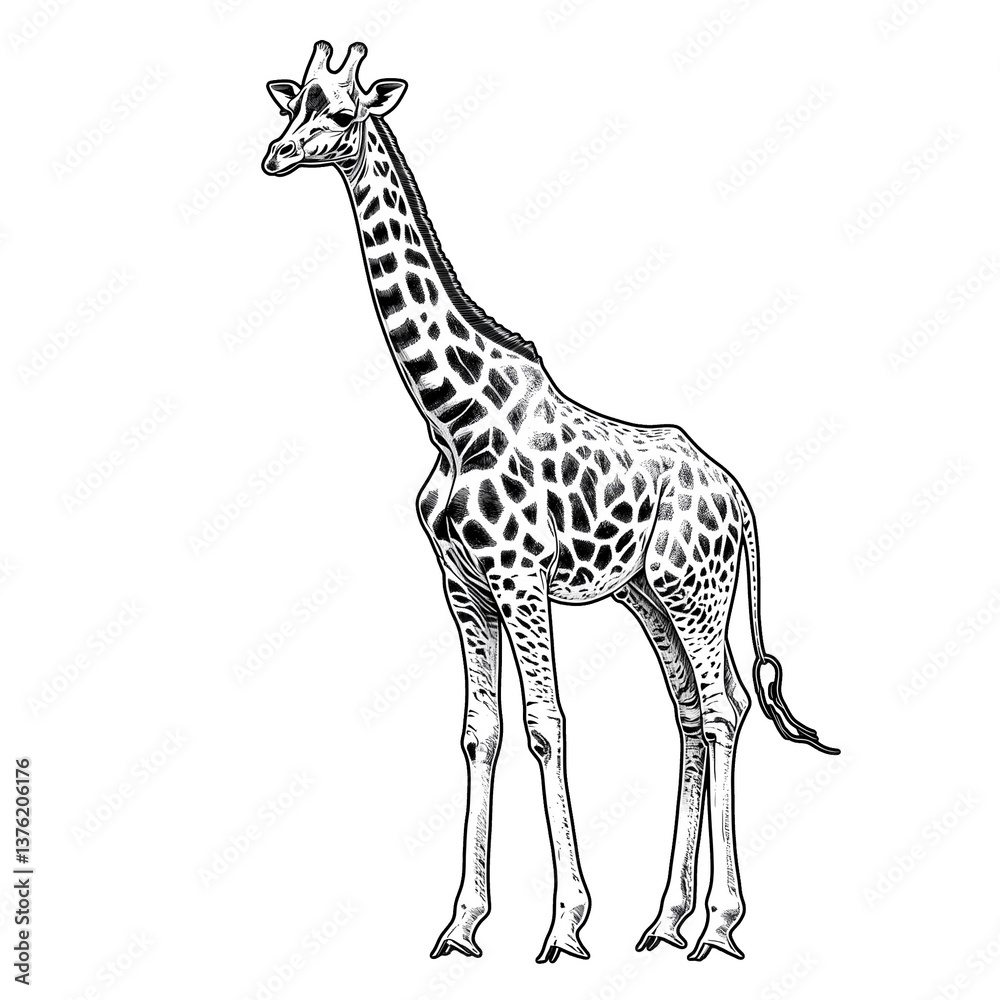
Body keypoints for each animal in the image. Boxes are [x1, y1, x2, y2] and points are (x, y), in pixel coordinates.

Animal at [261, 41, 839, 964]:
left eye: (343, 114)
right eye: (291, 105)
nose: (273, 156)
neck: (451, 413)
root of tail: (739, 496)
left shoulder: (521, 581)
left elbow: (546, 725)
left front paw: (565, 924)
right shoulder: (463, 585)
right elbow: (481, 732)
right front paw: (462, 924)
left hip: (697, 592)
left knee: (723, 711)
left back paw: (717, 924)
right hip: (650, 598)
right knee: (688, 714)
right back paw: (664, 920)